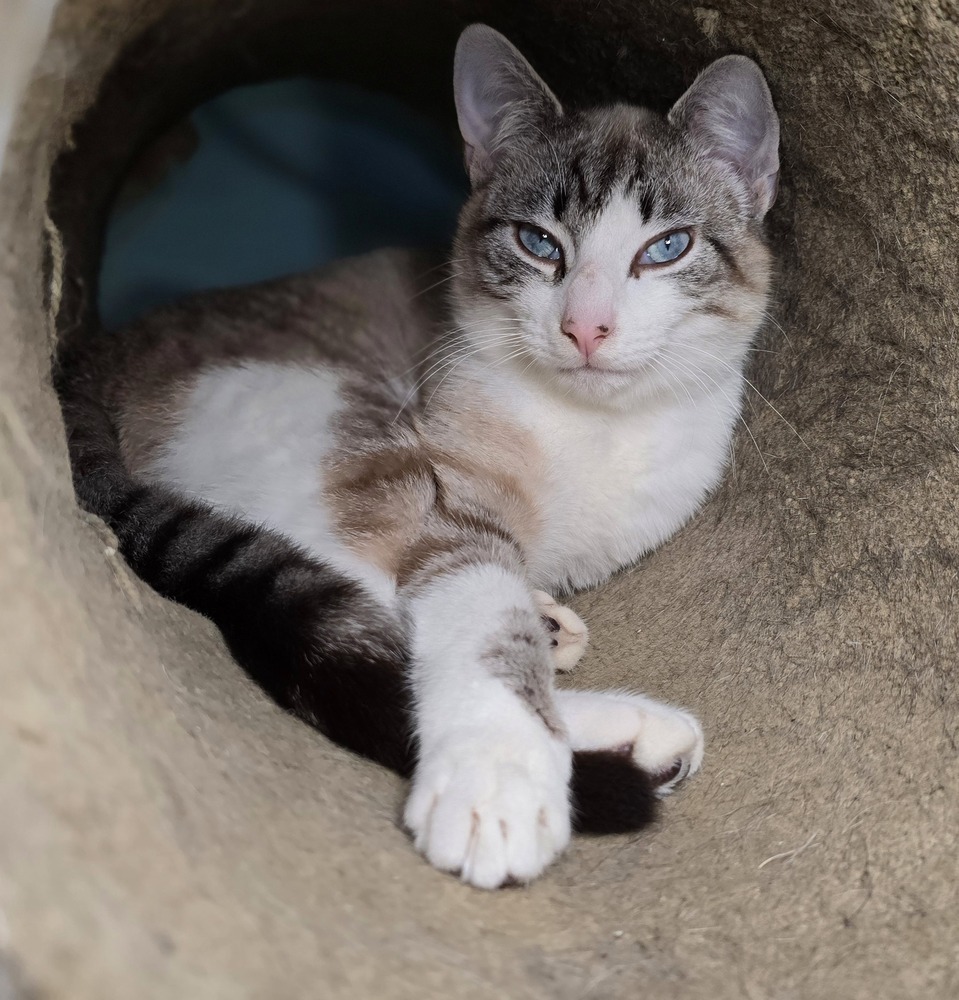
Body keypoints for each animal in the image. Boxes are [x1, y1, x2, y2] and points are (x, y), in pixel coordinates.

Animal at [56, 23, 780, 888]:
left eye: (666, 247)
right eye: (537, 243)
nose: (585, 327)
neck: (597, 428)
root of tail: (91, 358)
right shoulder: (445, 498)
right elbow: (476, 617)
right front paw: (497, 782)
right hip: (326, 418)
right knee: (351, 600)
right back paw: (617, 720)